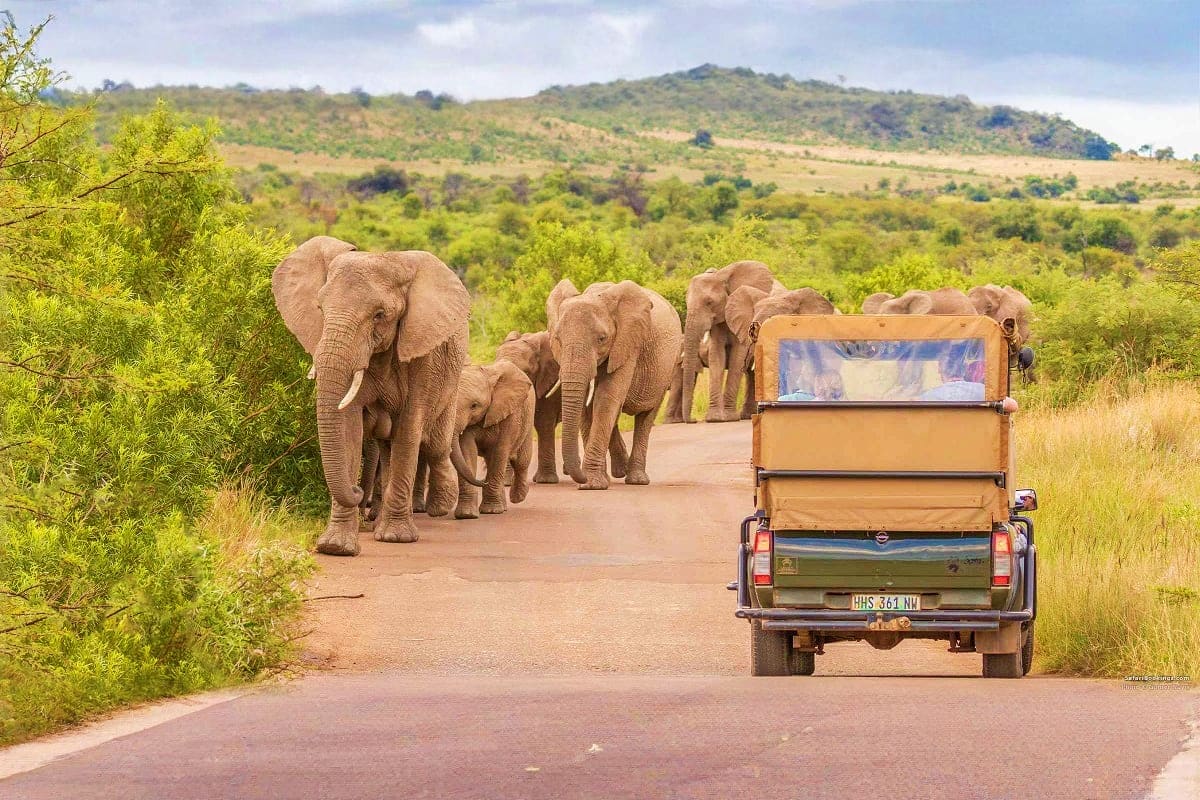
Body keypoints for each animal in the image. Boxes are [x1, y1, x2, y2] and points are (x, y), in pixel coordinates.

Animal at [272, 236, 470, 556]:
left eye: (379, 316)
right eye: (321, 309)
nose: (356, 490)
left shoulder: (422, 355)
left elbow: (410, 429)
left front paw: (396, 538)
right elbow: (350, 430)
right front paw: (336, 547)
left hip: (452, 380)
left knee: (436, 446)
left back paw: (440, 507)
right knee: (390, 448)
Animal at [450, 360, 535, 519]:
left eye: (474, 405)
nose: (483, 482)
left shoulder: (510, 414)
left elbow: (501, 451)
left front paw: (491, 511)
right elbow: (466, 451)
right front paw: (467, 515)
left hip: (527, 420)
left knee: (521, 462)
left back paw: (517, 497)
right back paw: (503, 506)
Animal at [547, 279, 683, 489]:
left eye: (602, 339)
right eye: (557, 339)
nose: (572, 473)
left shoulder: (628, 344)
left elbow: (606, 399)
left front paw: (591, 485)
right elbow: (587, 407)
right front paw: (594, 482)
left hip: (667, 368)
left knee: (646, 416)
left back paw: (636, 479)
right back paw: (620, 471)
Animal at [680, 261, 776, 423]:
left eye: (709, 302)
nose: (693, 420)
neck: (721, 277)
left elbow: (737, 358)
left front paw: (729, 417)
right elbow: (716, 355)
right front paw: (715, 418)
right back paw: (747, 415)